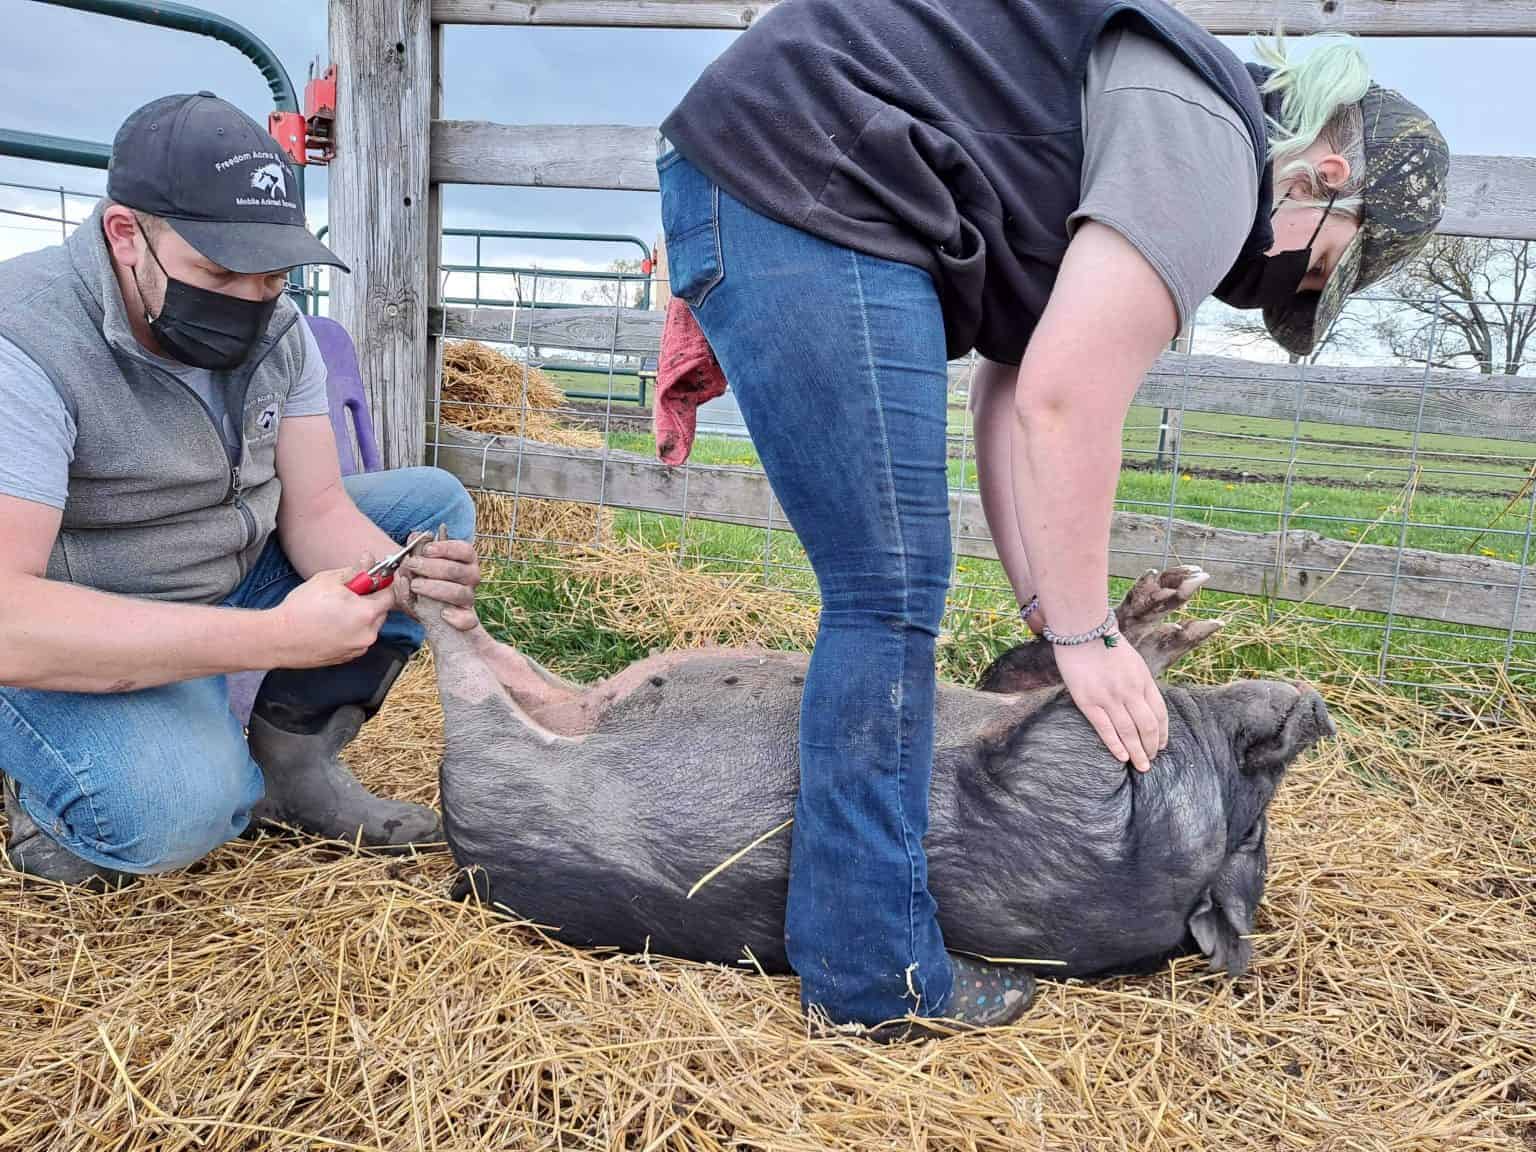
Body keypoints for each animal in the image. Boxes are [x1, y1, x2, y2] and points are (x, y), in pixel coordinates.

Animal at [415, 558, 1334, 982]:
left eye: (1252, 828)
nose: (1317, 710)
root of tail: (458, 835)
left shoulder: (1056, 806)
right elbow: (1013, 674)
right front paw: (1177, 604)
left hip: (504, 757)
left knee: (468, 673)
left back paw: (429, 587)